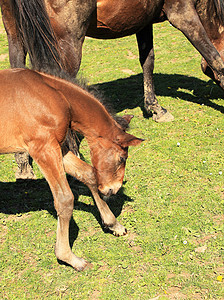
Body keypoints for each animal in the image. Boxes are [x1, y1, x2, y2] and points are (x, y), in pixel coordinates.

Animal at [0, 67, 143, 270]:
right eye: (122, 157)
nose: (113, 189)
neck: (54, 96)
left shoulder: (57, 147)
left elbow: (89, 174)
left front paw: (113, 224)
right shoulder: (43, 149)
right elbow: (65, 199)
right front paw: (69, 257)